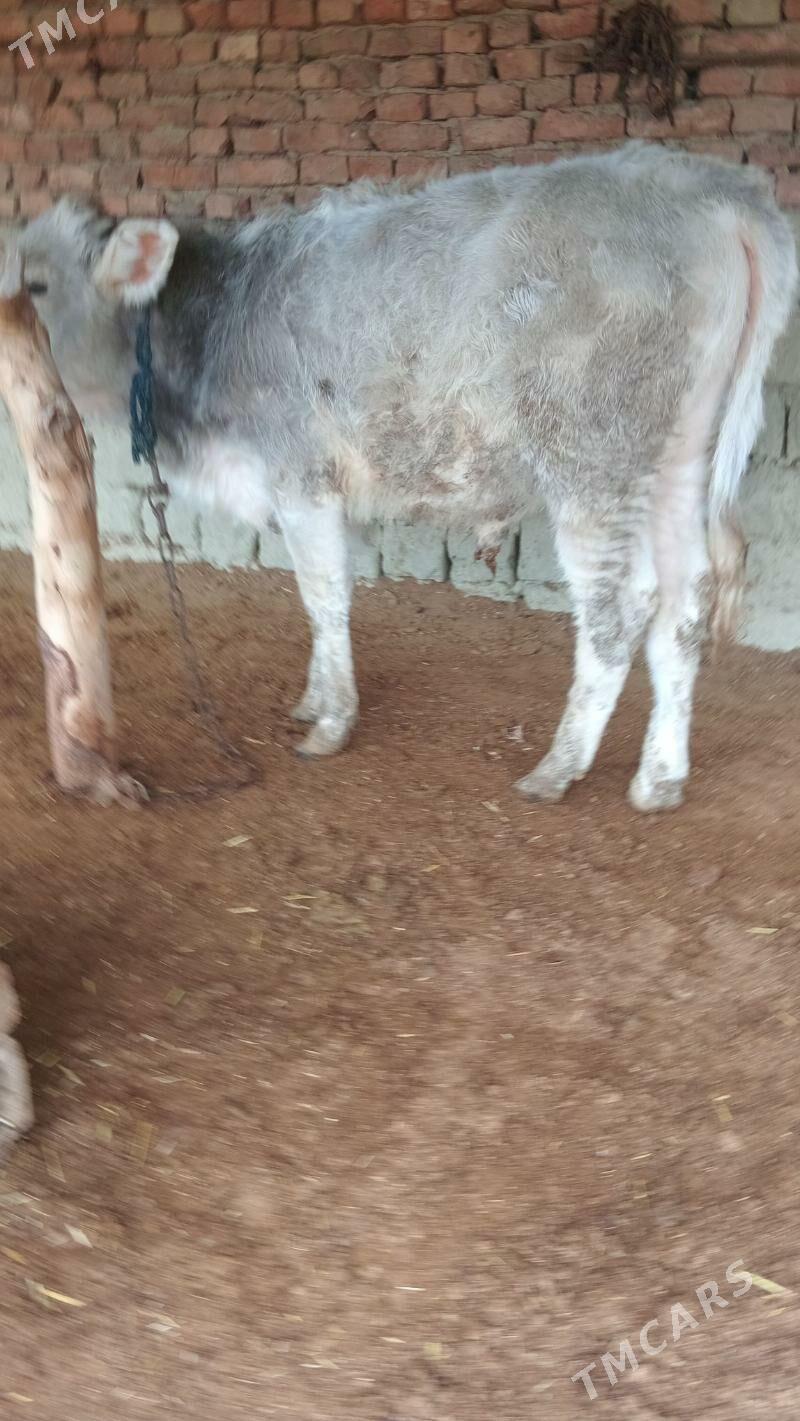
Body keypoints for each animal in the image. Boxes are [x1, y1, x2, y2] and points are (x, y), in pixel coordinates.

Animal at [16, 142, 797, 810]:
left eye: (37, 283)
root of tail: (707, 184)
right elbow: (323, 593)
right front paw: (315, 696)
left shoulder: (301, 472)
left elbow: (323, 594)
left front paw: (332, 722)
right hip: (679, 459)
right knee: (687, 602)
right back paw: (659, 777)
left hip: (593, 462)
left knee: (621, 608)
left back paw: (559, 766)